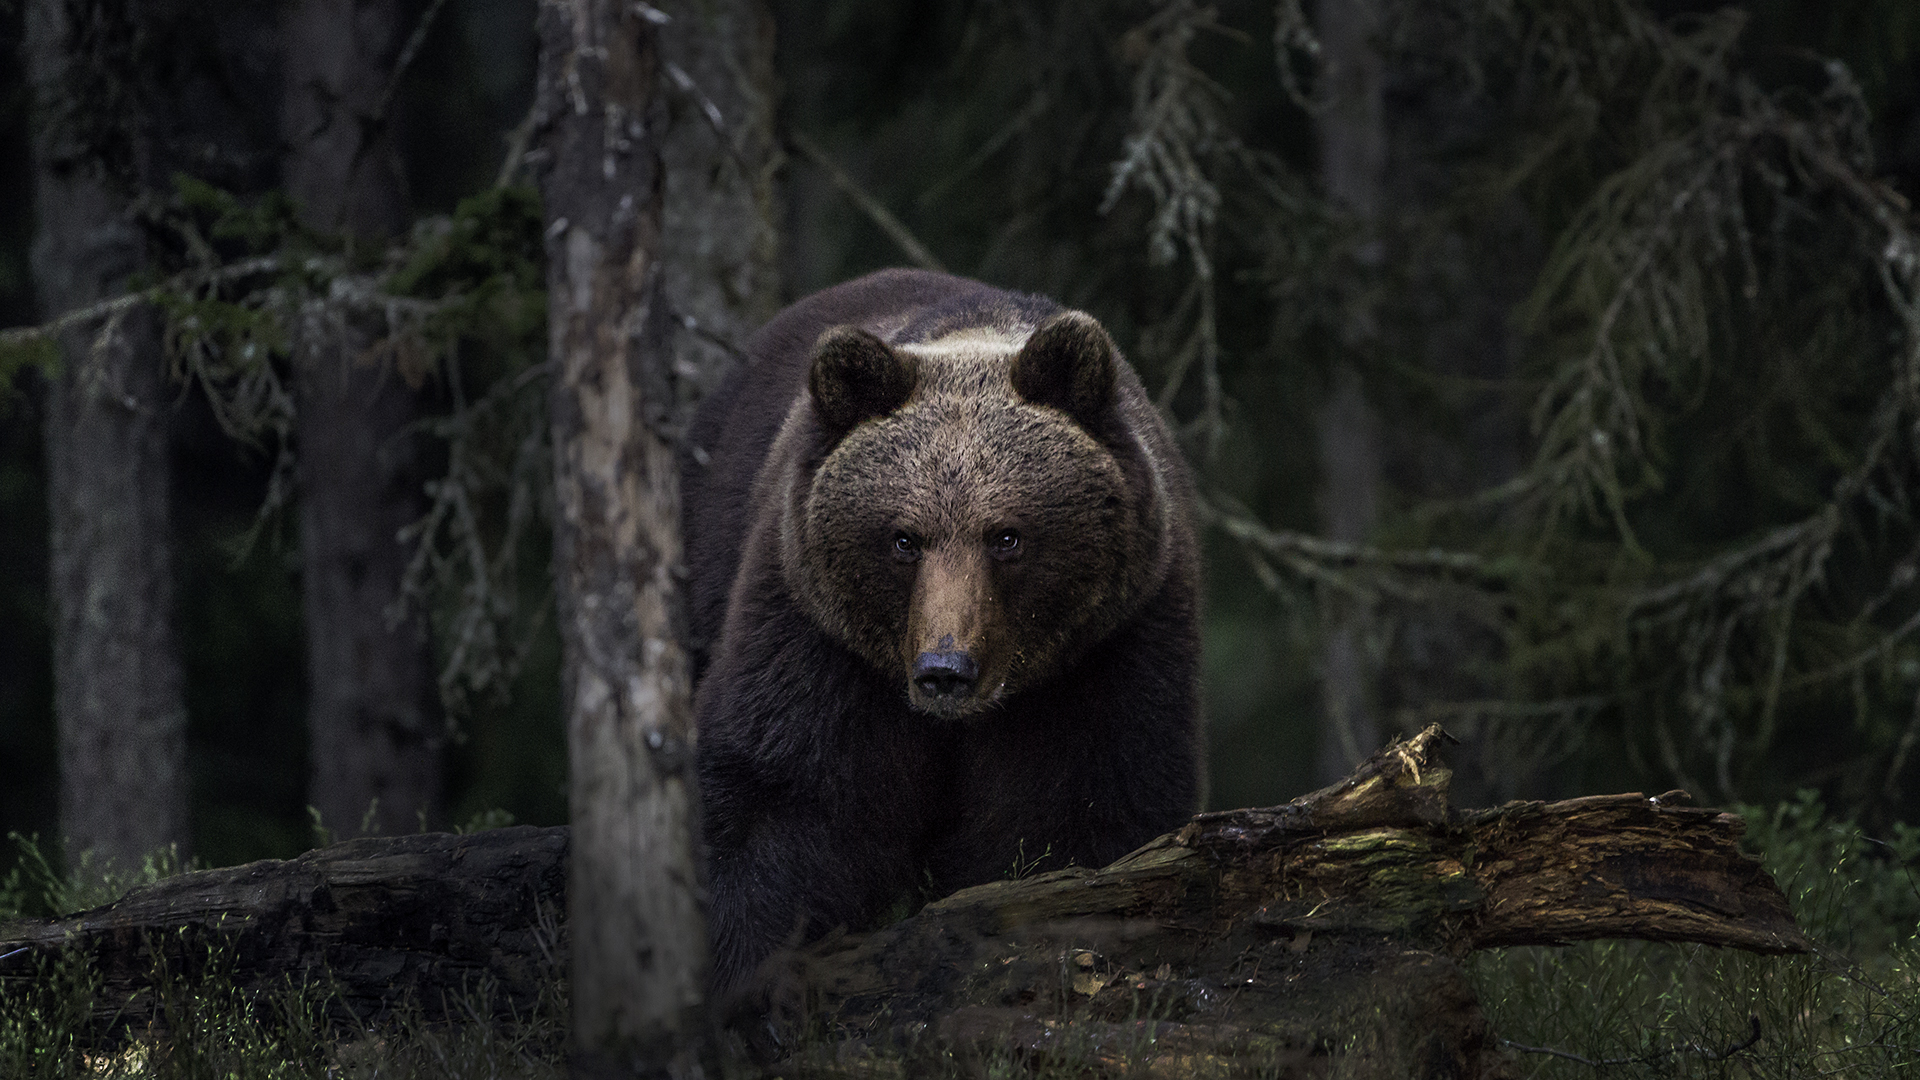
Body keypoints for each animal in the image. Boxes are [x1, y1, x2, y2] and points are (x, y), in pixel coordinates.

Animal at [687, 265, 1198, 991]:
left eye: (1007, 535)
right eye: (903, 539)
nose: (945, 670)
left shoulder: (1107, 651)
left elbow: (1085, 806)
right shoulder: (816, 633)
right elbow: (784, 790)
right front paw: (750, 969)